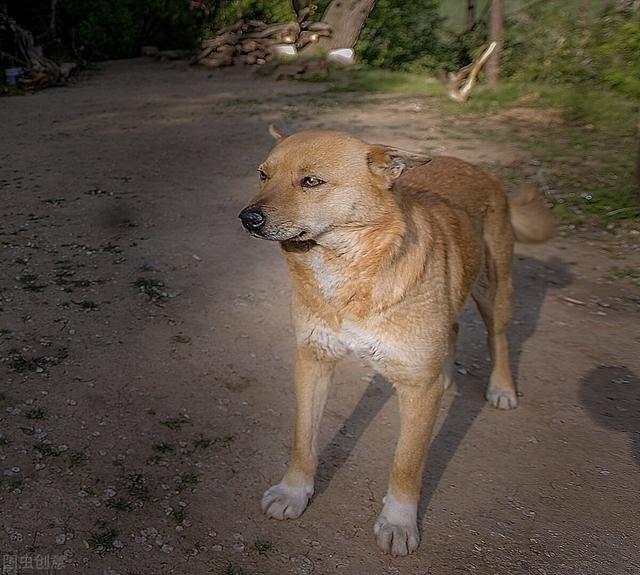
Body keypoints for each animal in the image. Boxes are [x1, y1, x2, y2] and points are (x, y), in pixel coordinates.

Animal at [238, 128, 552, 556]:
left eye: (311, 181)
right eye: (263, 175)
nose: (248, 218)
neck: (349, 268)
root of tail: (476, 167)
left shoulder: (417, 391)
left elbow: (406, 464)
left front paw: (399, 522)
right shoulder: (313, 360)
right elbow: (303, 440)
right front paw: (293, 492)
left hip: (494, 291)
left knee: (498, 337)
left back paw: (501, 387)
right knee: (453, 329)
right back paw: (448, 376)